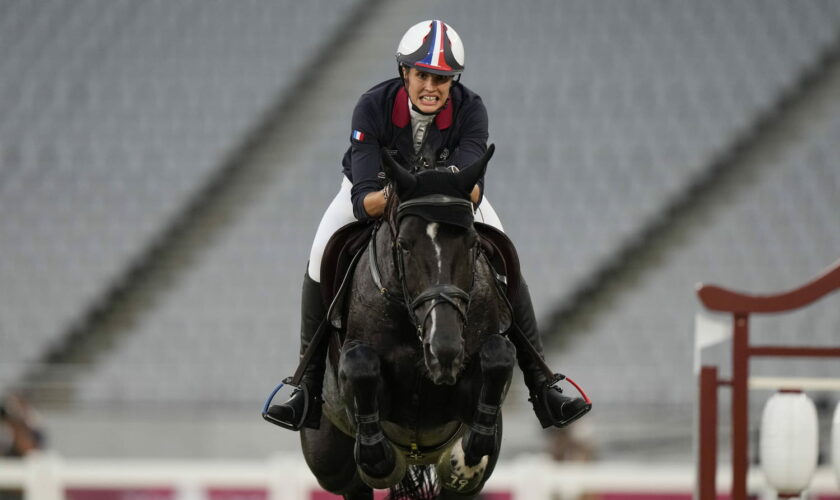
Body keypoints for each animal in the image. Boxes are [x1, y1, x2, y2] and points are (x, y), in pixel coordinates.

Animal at [298, 144, 516, 496]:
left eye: (472, 243)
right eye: (404, 245)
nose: (443, 351)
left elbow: (499, 357)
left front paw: (467, 456)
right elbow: (361, 367)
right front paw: (381, 457)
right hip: (329, 460)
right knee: (351, 480)